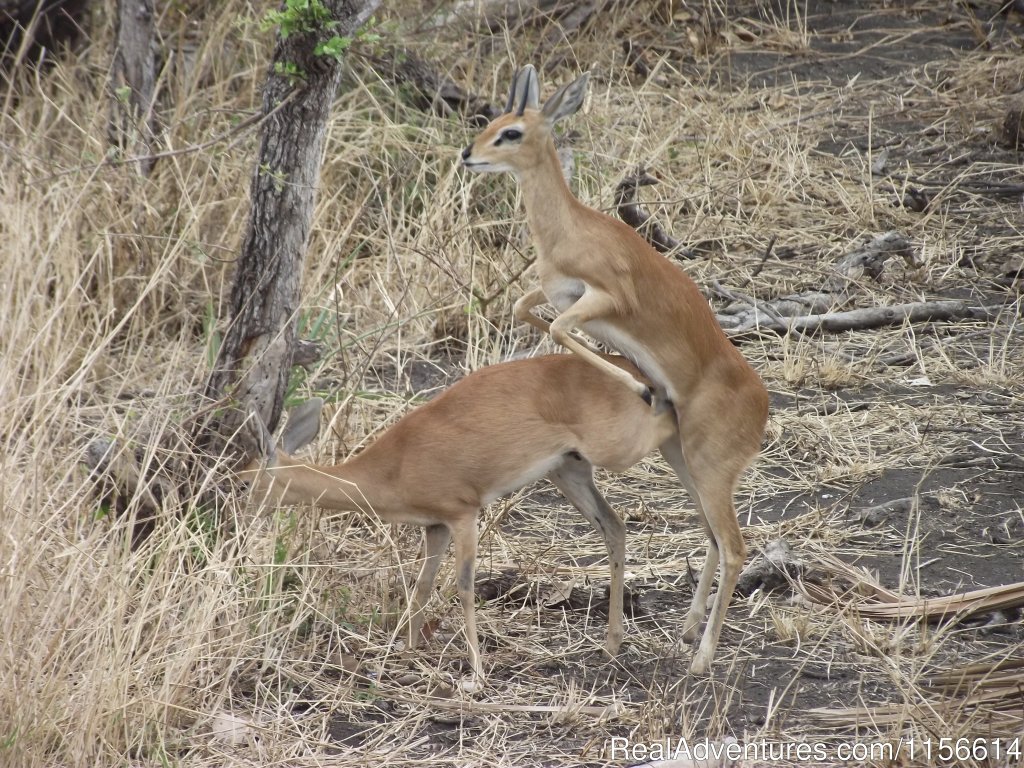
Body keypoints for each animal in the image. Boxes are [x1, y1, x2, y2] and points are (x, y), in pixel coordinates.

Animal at [239, 354, 679, 692]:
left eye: (242, 481)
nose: (237, 516)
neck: (393, 468)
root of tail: (627, 365)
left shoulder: (463, 514)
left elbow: (464, 587)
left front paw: (477, 676)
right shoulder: (434, 526)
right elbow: (421, 585)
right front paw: (408, 649)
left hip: (617, 450)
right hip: (569, 470)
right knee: (615, 527)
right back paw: (611, 644)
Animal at [460, 67, 765, 679]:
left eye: (511, 132)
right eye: (491, 122)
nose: (468, 155)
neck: (570, 230)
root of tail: (763, 404)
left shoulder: (602, 299)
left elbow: (559, 330)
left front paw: (641, 385)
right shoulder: (556, 293)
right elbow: (527, 311)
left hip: (709, 470)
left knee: (736, 546)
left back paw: (701, 658)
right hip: (686, 463)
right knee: (712, 537)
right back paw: (686, 630)